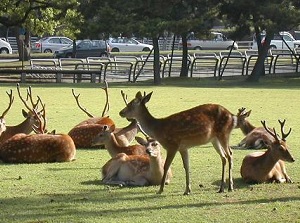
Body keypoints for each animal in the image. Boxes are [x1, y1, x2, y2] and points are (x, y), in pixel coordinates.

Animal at [118, 90, 247, 195]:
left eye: (132, 104)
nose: (121, 112)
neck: (158, 129)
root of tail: (233, 117)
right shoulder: (183, 147)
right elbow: (187, 166)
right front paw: (187, 190)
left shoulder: (172, 144)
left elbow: (166, 166)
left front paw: (160, 189)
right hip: (214, 139)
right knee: (224, 157)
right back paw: (221, 188)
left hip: (224, 133)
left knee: (230, 154)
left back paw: (230, 187)